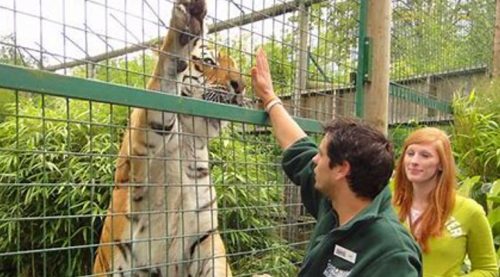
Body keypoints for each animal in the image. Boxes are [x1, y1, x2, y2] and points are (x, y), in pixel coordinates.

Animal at [93, 0, 245, 274]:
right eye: (209, 61)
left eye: (237, 67)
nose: (241, 86)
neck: (189, 140)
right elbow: (164, 83)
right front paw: (186, 26)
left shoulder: (204, 236)